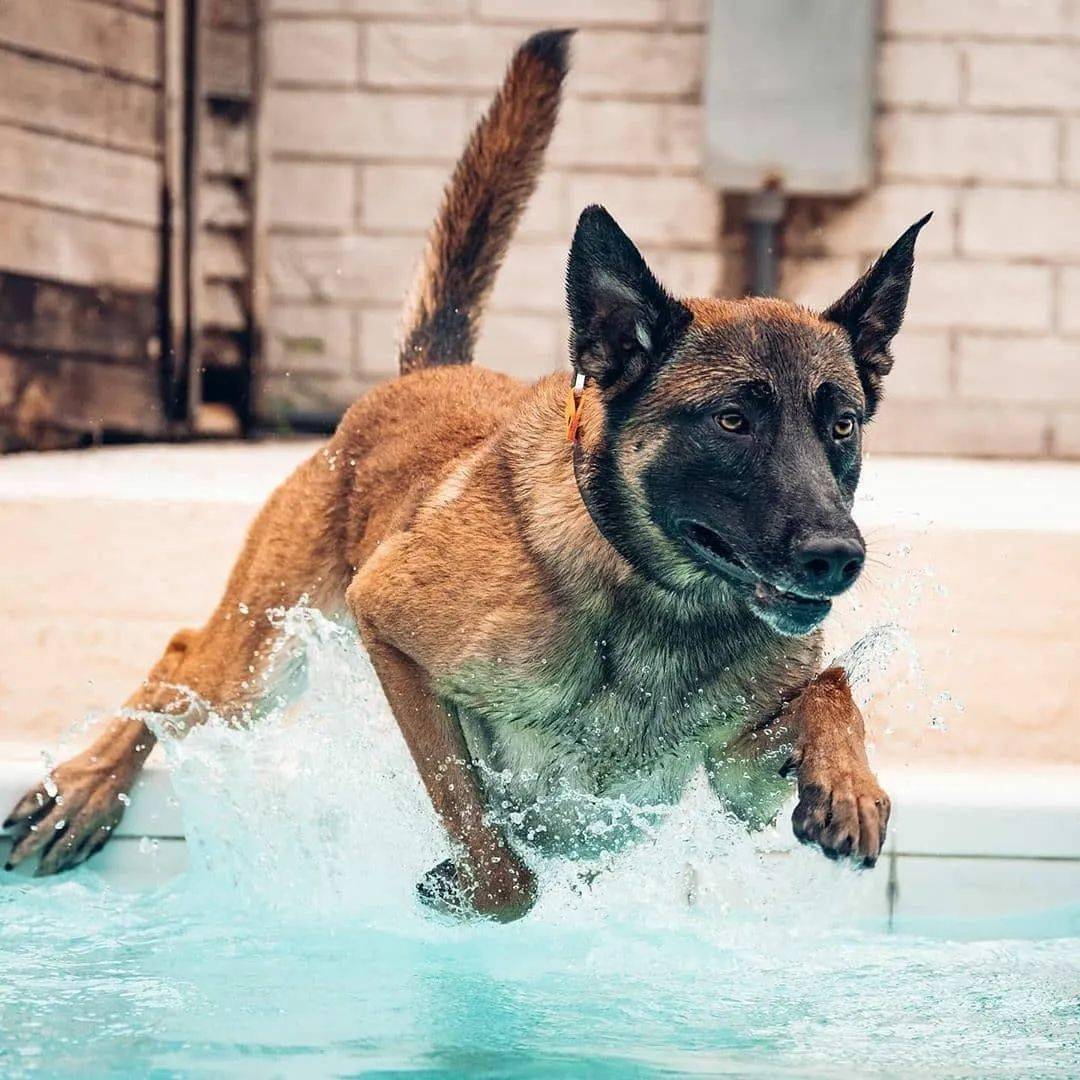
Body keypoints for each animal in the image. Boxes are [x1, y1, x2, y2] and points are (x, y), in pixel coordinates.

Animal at [4, 27, 924, 920]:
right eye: (732, 421)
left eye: (841, 425)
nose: (836, 557)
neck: (652, 597)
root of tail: (424, 374)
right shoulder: (391, 632)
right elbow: (500, 865)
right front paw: (471, 892)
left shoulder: (733, 773)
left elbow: (831, 686)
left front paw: (850, 787)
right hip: (263, 659)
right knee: (179, 664)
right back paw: (82, 789)